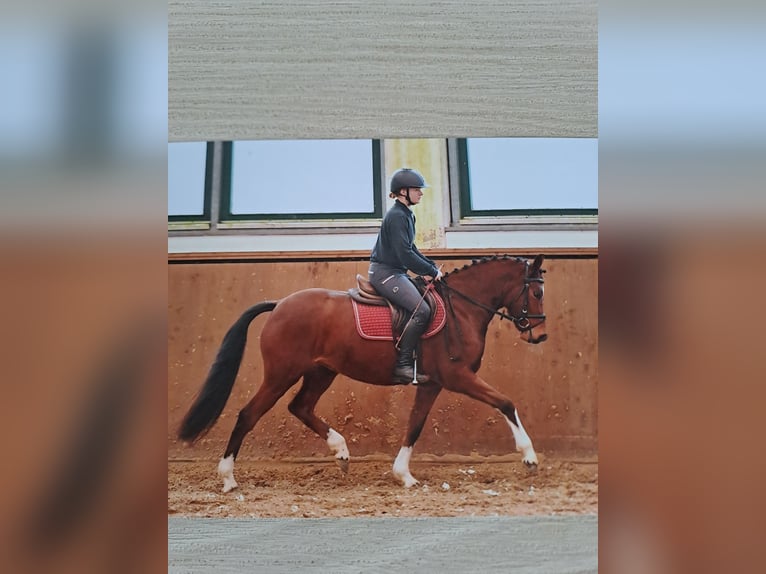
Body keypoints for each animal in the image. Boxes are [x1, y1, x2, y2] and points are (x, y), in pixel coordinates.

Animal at [177, 254, 548, 492]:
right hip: (281, 374)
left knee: (300, 407)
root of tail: (280, 303)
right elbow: (505, 402)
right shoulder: (458, 377)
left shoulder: (432, 384)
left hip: (321, 372)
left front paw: (403, 475)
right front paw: (529, 457)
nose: (540, 336)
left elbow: (415, 425)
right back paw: (228, 478)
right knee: (248, 415)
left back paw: (341, 451)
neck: (463, 308)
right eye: (537, 291)